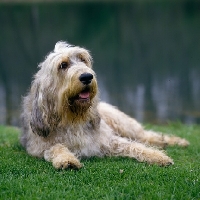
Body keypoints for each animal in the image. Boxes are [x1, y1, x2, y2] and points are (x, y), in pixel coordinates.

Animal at [20, 41, 189, 170]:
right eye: (63, 65)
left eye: (83, 59)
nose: (87, 76)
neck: (72, 117)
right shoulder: (39, 146)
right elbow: (56, 147)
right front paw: (67, 160)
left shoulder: (108, 140)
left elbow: (135, 146)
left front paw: (157, 156)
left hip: (123, 123)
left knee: (146, 135)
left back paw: (175, 141)